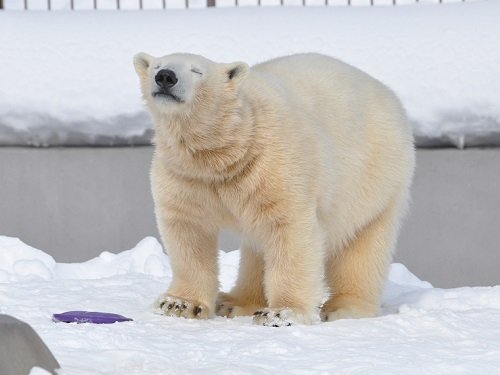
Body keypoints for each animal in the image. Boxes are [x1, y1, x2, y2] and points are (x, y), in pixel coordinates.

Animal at [133, 52, 414, 326]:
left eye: (197, 70)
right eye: (157, 65)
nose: (165, 76)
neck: (226, 152)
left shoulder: (273, 164)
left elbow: (290, 231)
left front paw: (282, 313)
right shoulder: (186, 176)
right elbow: (188, 230)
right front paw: (178, 304)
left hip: (374, 180)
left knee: (363, 244)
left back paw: (345, 308)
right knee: (256, 247)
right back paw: (235, 302)